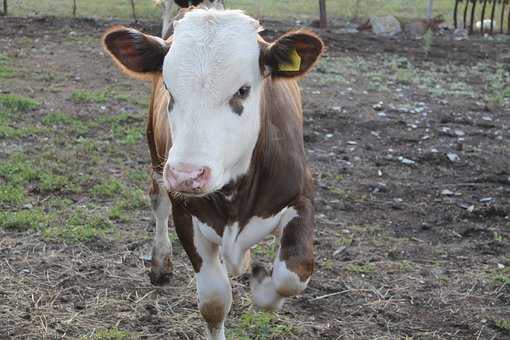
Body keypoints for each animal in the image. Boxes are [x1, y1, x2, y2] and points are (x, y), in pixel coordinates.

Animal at [103, 8, 322, 340]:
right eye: (168, 87)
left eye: (242, 90)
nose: (187, 175)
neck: (235, 197)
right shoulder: (186, 215)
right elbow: (214, 301)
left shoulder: (301, 196)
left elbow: (292, 275)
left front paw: (262, 285)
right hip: (156, 156)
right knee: (158, 202)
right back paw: (161, 262)